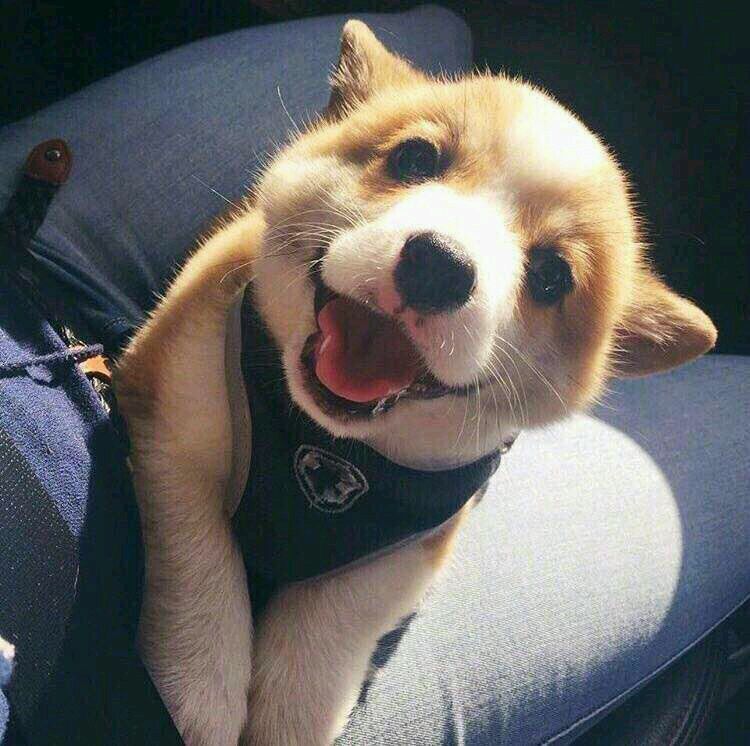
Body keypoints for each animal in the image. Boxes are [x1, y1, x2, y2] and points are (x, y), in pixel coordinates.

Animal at [115, 20, 717, 746]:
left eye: (552, 277)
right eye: (413, 159)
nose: (439, 266)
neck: (325, 445)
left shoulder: (408, 546)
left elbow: (319, 644)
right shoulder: (168, 421)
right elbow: (203, 569)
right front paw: (194, 692)